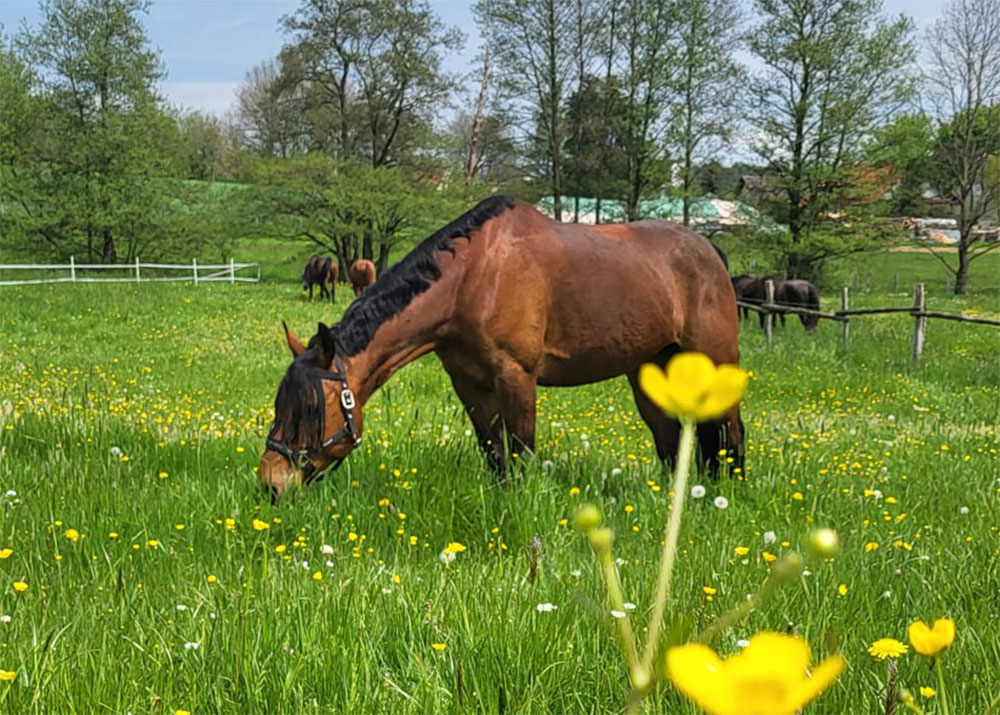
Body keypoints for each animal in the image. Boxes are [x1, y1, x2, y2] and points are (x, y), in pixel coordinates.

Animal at [260, 196, 745, 500]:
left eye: (311, 410)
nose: (270, 484)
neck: (473, 280)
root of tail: (711, 251)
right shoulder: (470, 385)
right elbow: (494, 453)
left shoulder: (516, 377)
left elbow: (521, 451)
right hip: (650, 369)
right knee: (669, 438)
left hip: (717, 361)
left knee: (731, 432)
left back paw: (727, 494)